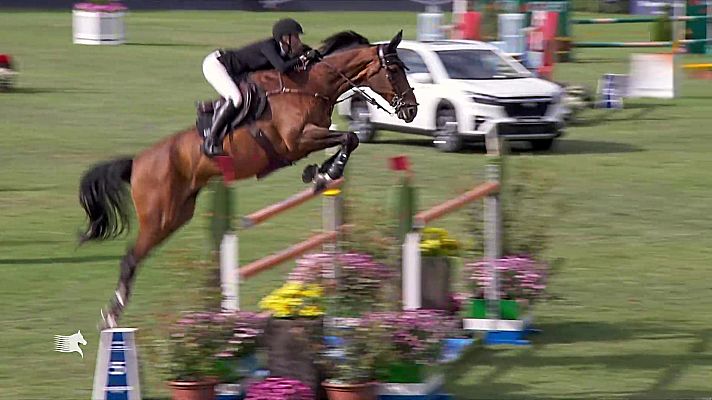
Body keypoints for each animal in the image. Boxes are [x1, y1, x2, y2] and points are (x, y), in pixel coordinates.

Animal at [78, 30, 418, 328]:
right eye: (394, 70)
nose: (411, 111)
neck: (310, 85)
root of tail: (136, 163)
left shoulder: (312, 136)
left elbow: (348, 139)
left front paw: (319, 173)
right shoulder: (298, 139)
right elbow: (349, 137)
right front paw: (326, 173)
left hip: (176, 215)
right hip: (158, 216)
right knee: (130, 258)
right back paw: (112, 316)